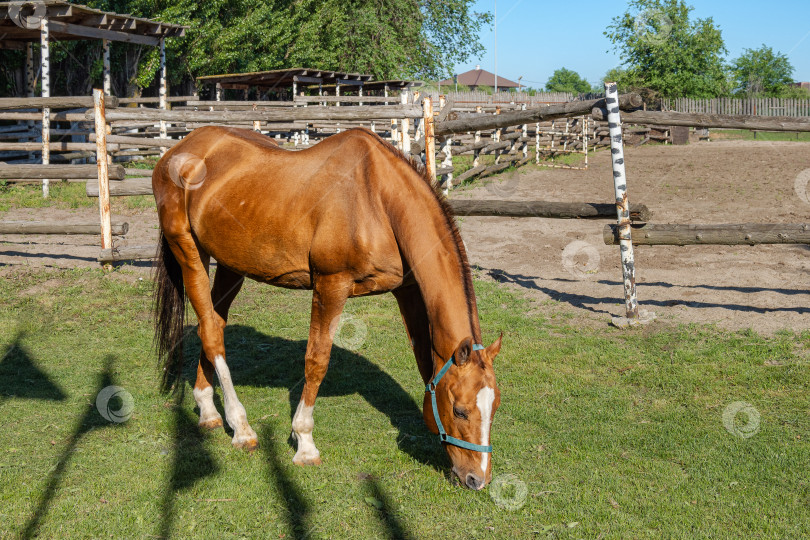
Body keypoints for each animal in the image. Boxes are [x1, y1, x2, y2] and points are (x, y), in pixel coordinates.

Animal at [153, 125, 498, 490]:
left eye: (495, 408)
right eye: (459, 410)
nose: (477, 478)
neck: (378, 199)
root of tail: (180, 150)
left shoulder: (407, 292)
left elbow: (425, 361)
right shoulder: (331, 285)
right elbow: (317, 361)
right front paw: (304, 443)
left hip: (232, 265)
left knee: (212, 326)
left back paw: (208, 410)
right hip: (188, 251)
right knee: (210, 332)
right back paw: (242, 428)